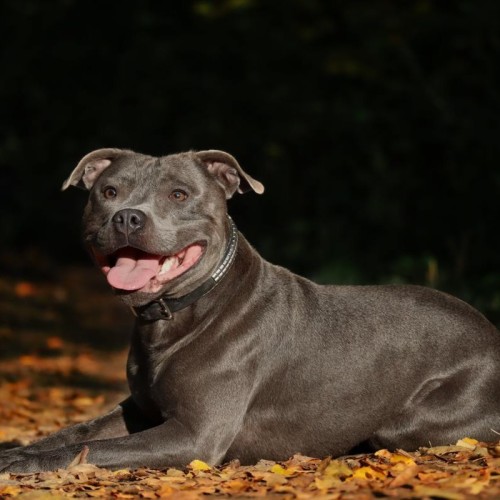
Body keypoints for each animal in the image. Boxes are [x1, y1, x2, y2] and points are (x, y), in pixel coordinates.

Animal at [0, 146, 498, 472]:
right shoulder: (140, 409)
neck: (179, 314)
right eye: (108, 191)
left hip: (411, 421)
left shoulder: (194, 435)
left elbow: (87, 451)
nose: (127, 216)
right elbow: (77, 434)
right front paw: (15, 450)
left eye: (179, 195)